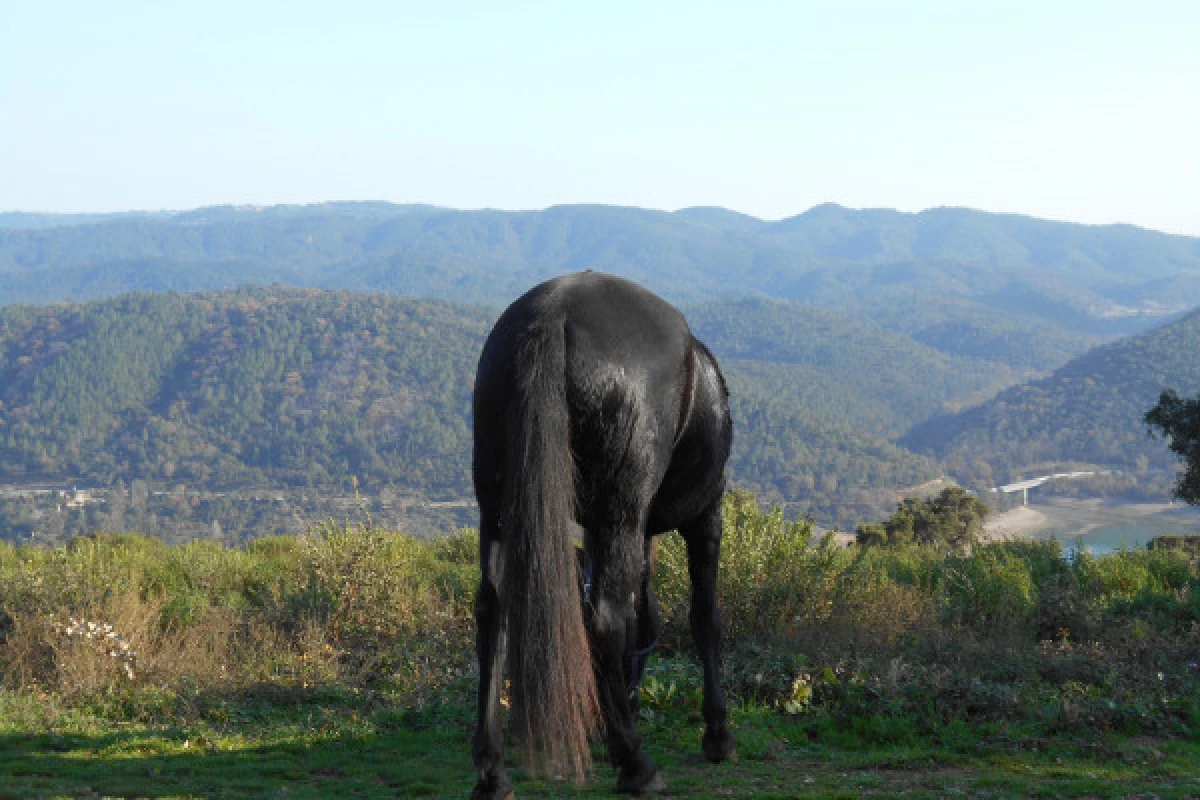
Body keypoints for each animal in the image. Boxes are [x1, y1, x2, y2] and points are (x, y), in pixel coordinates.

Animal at [470, 272, 734, 796]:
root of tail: (551, 313)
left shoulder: (595, 529)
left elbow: (640, 619)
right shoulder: (704, 516)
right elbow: (703, 617)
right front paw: (717, 733)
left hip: (498, 511)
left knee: (494, 611)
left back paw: (493, 772)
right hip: (622, 515)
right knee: (606, 619)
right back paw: (637, 765)